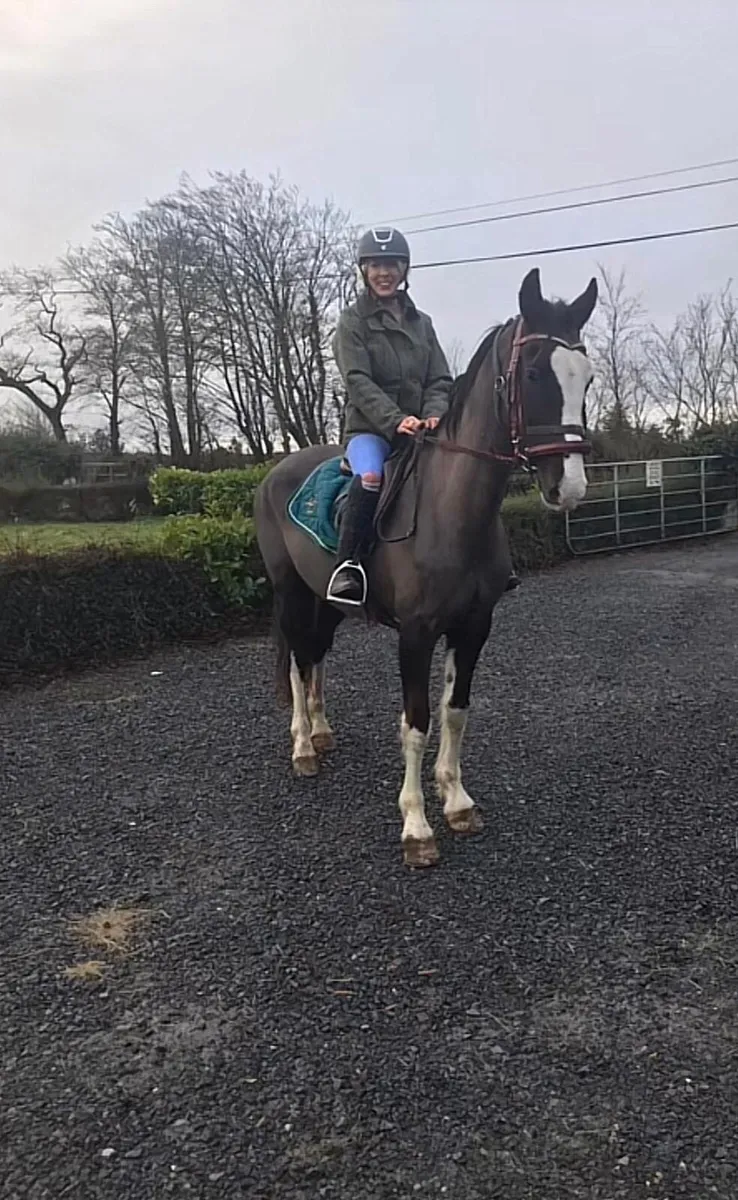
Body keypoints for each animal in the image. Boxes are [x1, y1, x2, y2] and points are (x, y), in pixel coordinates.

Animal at [253, 266, 598, 868]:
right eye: (534, 373)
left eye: (589, 378)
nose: (570, 489)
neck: (451, 511)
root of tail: (276, 472)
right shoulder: (414, 634)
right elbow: (415, 722)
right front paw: (416, 828)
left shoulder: (473, 627)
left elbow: (454, 710)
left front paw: (457, 803)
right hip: (291, 594)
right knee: (297, 662)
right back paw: (302, 748)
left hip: (327, 602)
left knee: (315, 658)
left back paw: (321, 733)